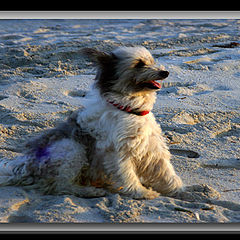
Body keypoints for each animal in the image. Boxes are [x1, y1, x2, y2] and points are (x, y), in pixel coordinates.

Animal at [0, 46, 216, 200]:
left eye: (152, 62)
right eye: (139, 64)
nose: (165, 72)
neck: (129, 109)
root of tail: (24, 166)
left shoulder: (152, 149)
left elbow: (167, 174)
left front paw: (186, 191)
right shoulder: (118, 152)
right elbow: (128, 175)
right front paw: (141, 193)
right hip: (71, 148)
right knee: (59, 186)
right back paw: (89, 191)